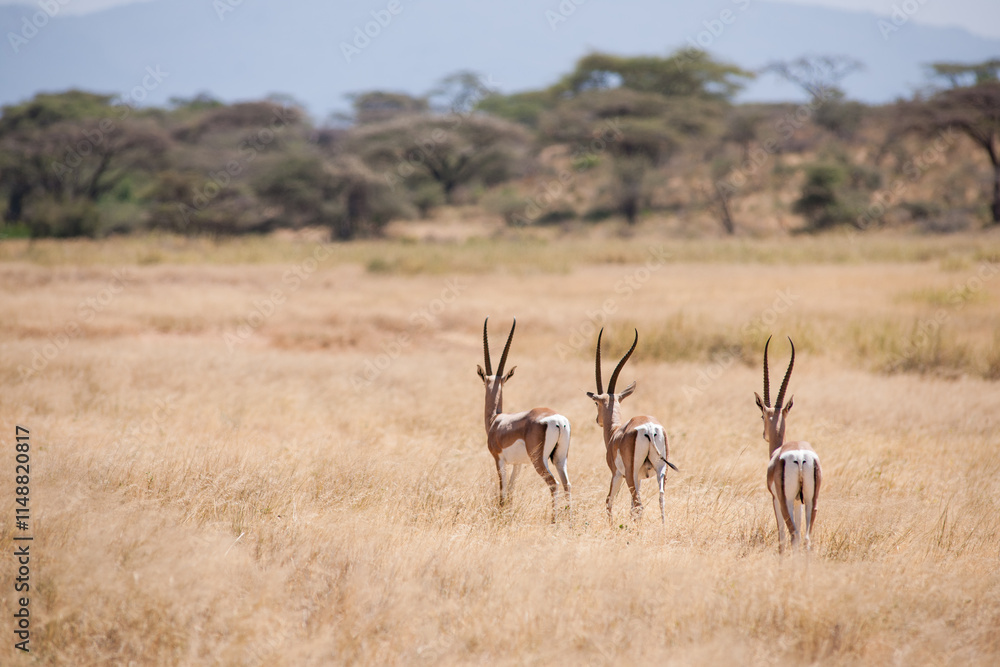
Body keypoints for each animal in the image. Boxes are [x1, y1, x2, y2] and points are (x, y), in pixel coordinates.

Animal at [477, 318, 571, 522]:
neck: (496, 420)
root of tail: (557, 419)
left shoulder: (499, 460)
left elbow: (503, 490)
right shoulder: (518, 464)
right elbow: (512, 490)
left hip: (540, 461)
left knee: (554, 483)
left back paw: (554, 521)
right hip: (560, 458)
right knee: (567, 484)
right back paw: (570, 521)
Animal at [587, 328, 677, 525]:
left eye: (596, 403)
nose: (597, 420)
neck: (615, 432)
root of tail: (649, 428)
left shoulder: (616, 473)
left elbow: (609, 501)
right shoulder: (641, 477)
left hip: (630, 473)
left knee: (638, 505)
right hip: (661, 470)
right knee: (661, 500)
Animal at [755, 336, 822, 553]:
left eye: (762, 416)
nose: (764, 435)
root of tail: (800, 456)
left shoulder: (776, 499)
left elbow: (781, 537)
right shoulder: (798, 501)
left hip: (785, 501)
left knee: (793, 535)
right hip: (811, 500)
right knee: (806, 537)